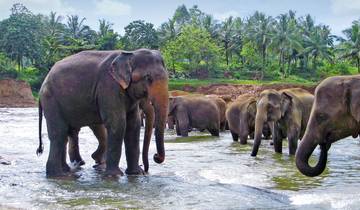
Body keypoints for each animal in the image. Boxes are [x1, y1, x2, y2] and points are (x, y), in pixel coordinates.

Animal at [36, 49, 169, 177]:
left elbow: (133, 125)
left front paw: (136, 173)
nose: (155, 157)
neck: (130, 53)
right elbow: (118, 125)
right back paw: (58, 175)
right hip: (51, 101)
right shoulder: (108, 87)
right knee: (59, 133)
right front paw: (114, 175)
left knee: (65, 133)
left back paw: (67, 170)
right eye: (148, 78)